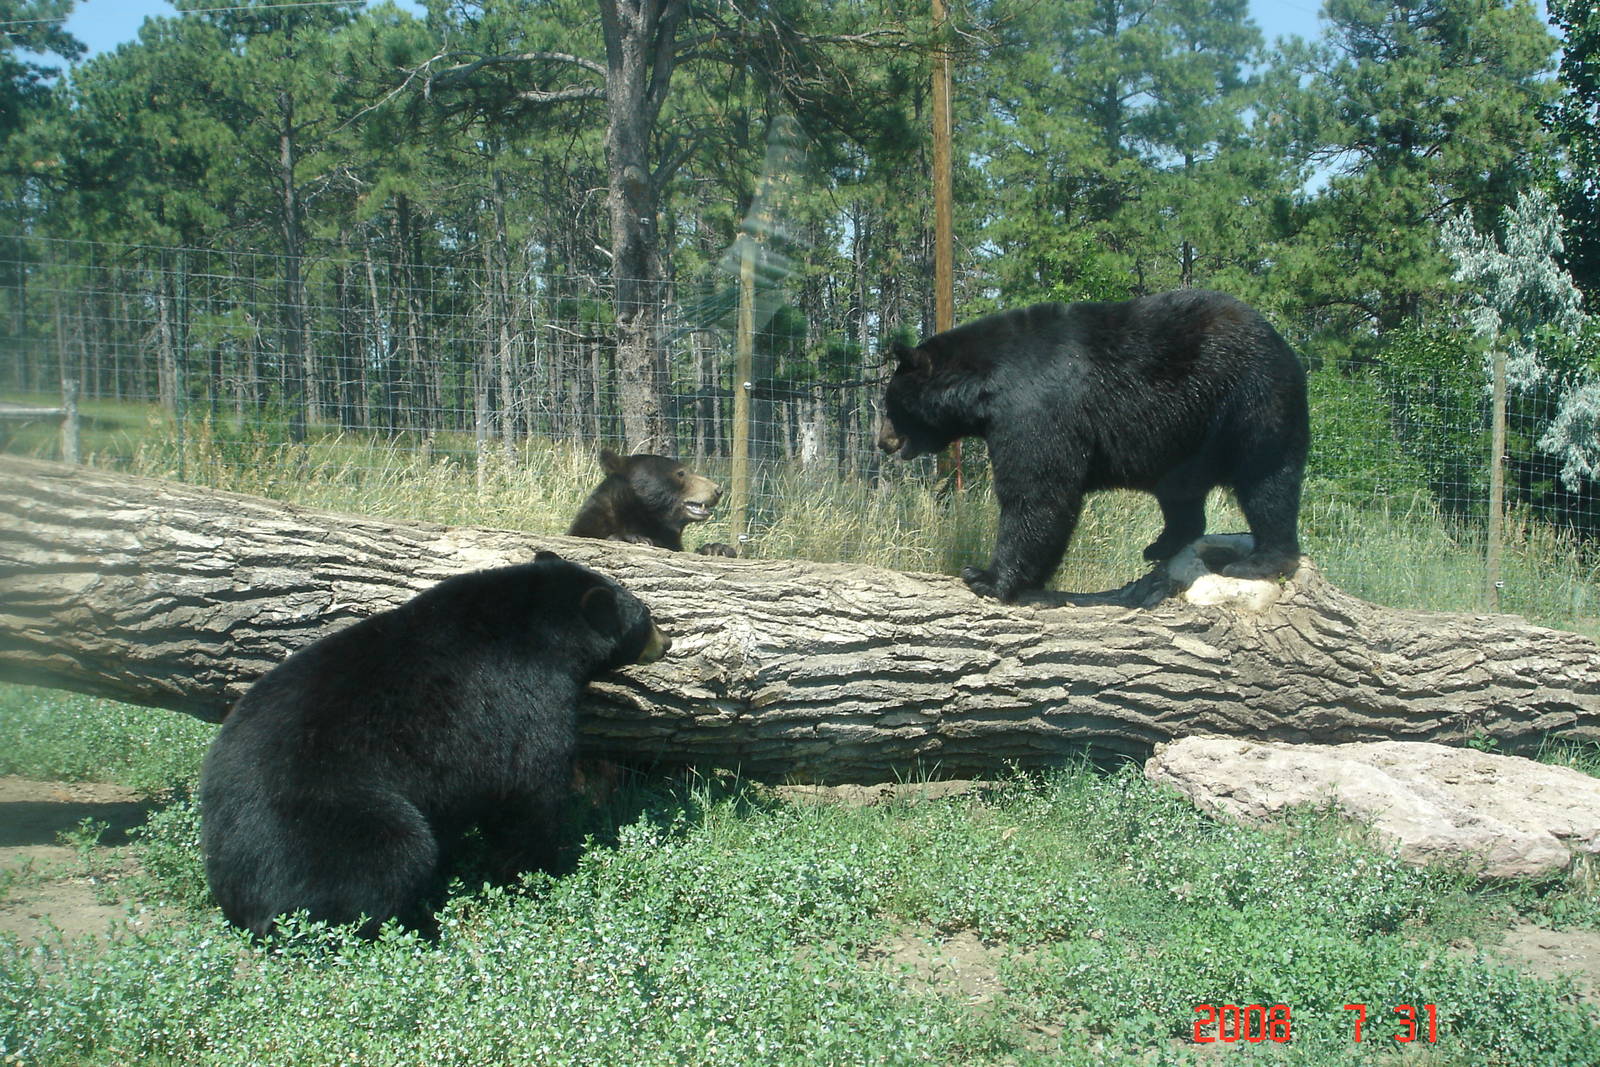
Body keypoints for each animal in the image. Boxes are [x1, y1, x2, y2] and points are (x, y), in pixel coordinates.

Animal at [198, 553, 669, 939]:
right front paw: (541, 873)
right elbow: (527, 794)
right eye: (646, 616)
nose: (667, 642)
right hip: (323, 820)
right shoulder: (525, 698)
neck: (543, 630)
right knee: (389, 856)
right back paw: (418, 925)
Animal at [877, 289, 1309, 603]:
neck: (985, 385)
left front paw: (987, 578)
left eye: (890, 405)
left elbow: (1039, 491)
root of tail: (1285, 346)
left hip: (1253, 405)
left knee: (1268, 484)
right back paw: (1162, 545)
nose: (882, 442)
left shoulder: (1034, 409)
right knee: (1182, 497)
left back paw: (1259, 562)